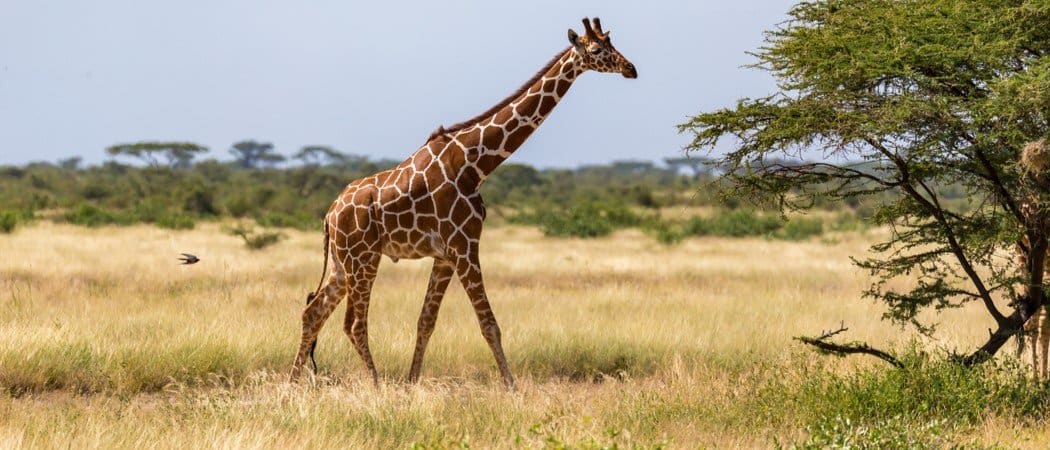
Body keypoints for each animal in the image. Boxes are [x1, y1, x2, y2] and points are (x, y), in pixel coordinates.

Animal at [287, 17, 634, 386]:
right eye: (597, 50)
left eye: (612, 43)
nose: (631, 68)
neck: (476, 163)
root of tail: (329, 214)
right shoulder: (466, 245)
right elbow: (489, 324)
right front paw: (511, 387)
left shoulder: (445, 256)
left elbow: (426, 321)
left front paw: (412, 383)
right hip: (363, 258)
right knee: (352, 323)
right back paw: (377, 386)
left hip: (343, 264)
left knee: (313, 312)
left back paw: (292, 384)